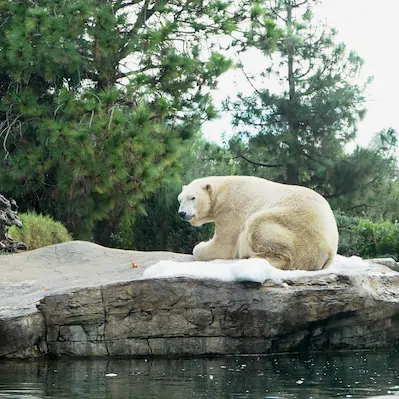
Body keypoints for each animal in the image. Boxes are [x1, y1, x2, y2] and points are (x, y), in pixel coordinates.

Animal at [180, 177, 340, 272]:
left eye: (192, 198)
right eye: (180, 199)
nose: (182, 213)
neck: (223, 189)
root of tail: (330, 250)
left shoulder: (231, 209)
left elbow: (223, 246)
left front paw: (200, 246)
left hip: (295, 225)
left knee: (257, 224)